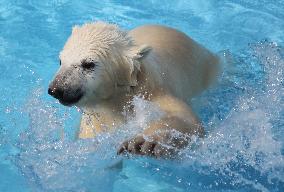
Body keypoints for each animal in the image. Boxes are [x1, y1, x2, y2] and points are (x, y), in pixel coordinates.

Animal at [48, 22, 220, 158]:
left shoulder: (152, 91)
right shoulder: (98, 118)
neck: (118, 98)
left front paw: (144, 143)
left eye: (88, 64)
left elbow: (185, 117)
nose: (56, 89)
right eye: (61, 61)